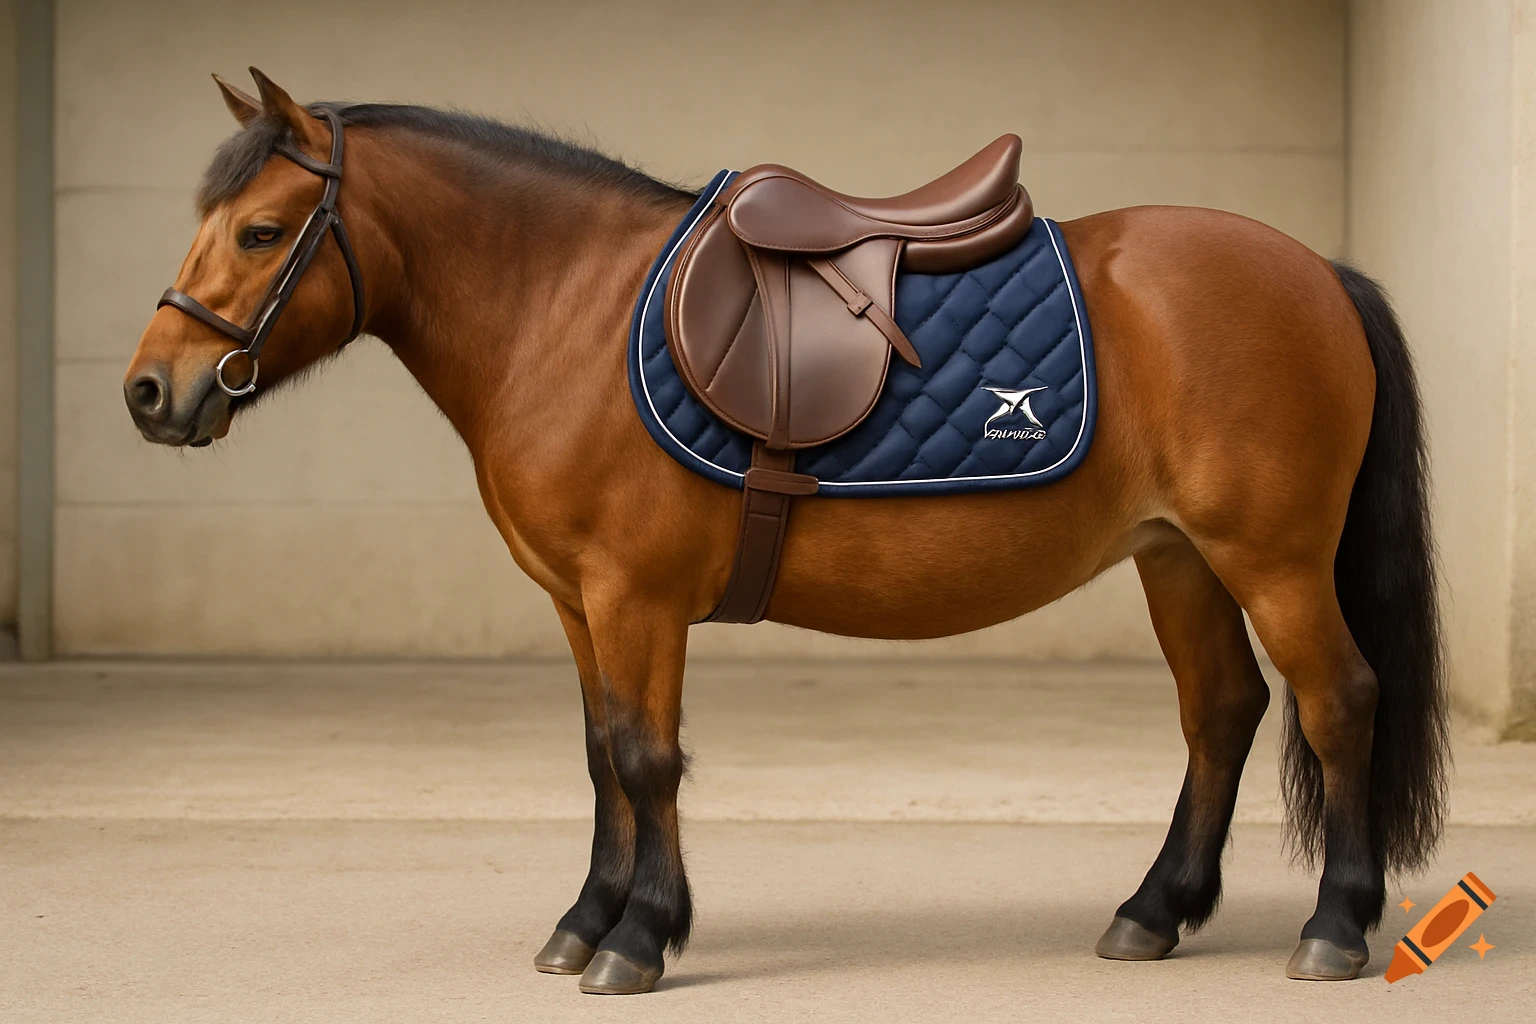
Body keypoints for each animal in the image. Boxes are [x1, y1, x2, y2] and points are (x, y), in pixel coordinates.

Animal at [123, 69, 1448, 995]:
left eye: (258, 232)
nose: (148, 392)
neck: (565, 310)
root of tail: (1317, 270)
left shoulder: (637, 595)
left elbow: (647, 758)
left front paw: (641, 938)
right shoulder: (577, 602)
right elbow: (601, 756)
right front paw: (586, 921)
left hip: (1271, 558)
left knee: (1339, 700)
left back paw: (1335, 925)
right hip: (1178, 556)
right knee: (1223, 710)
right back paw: (1153, 911)